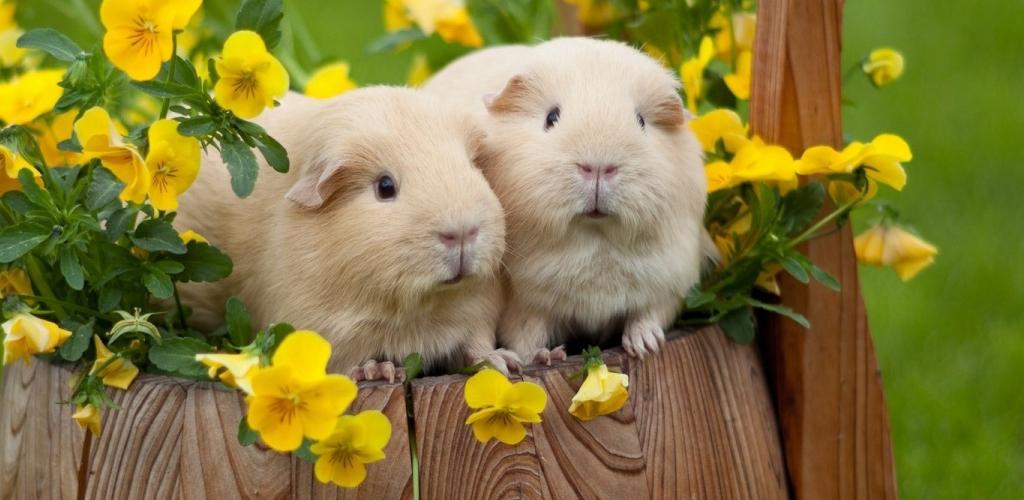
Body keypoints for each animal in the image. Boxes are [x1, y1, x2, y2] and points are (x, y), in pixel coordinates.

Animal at [174, 87, 518, 379]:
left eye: (473, 168)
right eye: (385, 187)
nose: (462, 233)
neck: (423, 312)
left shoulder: (477, 311)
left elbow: (476, 345)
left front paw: (504, 363)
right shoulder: (327, 330)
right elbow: (350, 360)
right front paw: (379, 371)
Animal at [423, 37, 709, 363]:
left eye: (641, 121)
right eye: (551, 117)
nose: (598, 167)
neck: (595, 243)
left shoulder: (669, 279)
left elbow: (648, 315)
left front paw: (644, 346)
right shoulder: (526, 305)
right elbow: (527, 336)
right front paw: (543, 357)